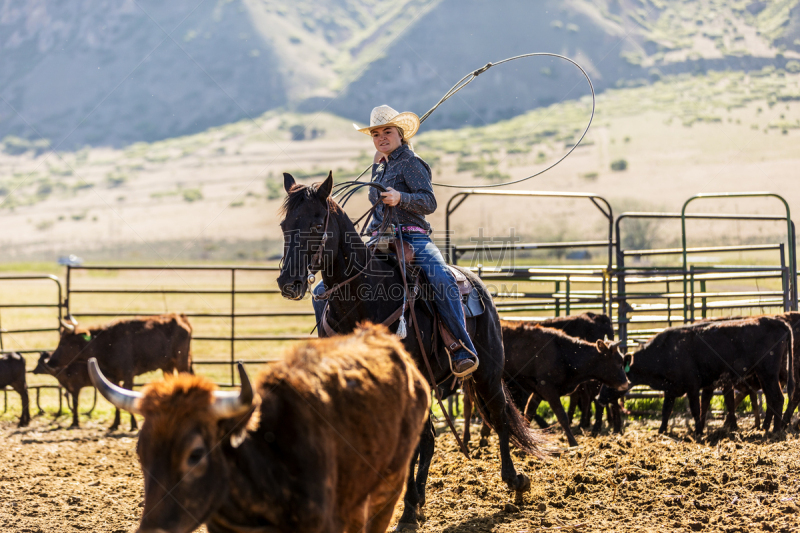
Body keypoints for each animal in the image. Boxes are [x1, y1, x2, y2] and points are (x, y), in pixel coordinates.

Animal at [47, 313, 192, 430]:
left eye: (63, 342)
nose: (50, 361)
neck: (106, 344)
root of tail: (179, 317)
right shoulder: (114, 378)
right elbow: (116, 401)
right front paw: (115, 424)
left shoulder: (128, 375)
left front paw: (133, 424)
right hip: (167, 366)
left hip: (182, 362)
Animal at [276, 171, 548, 529]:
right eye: (284, 224)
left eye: (317, 222)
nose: (287, 282)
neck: (364, 297)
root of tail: (476, 282)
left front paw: (402, 511)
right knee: (431, 438)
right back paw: (417, 502)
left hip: (488, 372)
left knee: (499, 416)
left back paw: (514, 482)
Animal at [626, 316, 792, 436]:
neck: (667, 350)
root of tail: (777, 322)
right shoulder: (671, 389)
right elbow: (667, 410)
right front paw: (661, 431)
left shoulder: (692, 387)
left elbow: (696, 409)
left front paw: (698, 431)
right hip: (765, 376)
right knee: (770, 399)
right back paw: (765, 428)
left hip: (768, 373)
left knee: (777, 398)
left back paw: (775, 430)